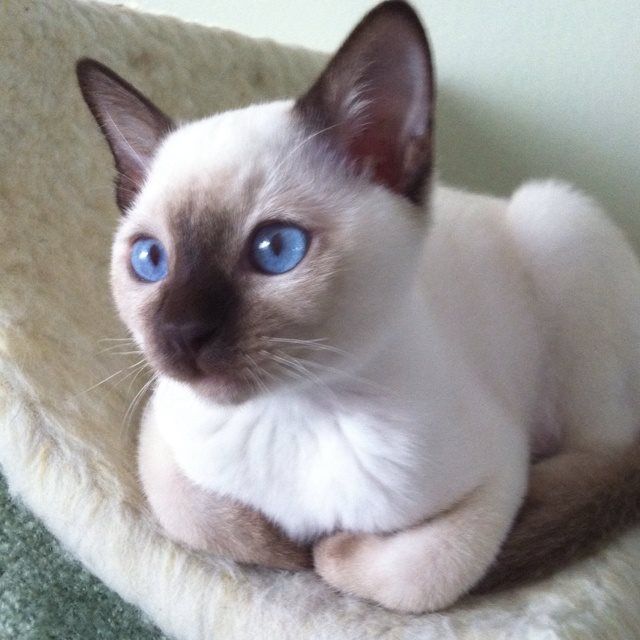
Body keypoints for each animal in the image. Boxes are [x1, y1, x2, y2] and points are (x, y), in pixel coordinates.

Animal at [79, 0, 640, 608]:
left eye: (276, 249)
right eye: (151, 259)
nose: (183, 332)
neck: (292, 412)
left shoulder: (498, 473)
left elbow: (411, 573)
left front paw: (327, 547)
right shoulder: (160, 435)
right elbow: (202, 518)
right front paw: (286, 545)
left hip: (556, 218)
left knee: (607, 457)